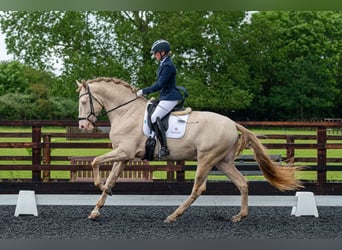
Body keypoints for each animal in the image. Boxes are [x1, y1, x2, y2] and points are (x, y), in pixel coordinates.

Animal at [76, 76, 304, 223]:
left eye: (84, 101)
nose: (83, 127)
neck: (126, 111)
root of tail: (232, 123)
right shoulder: (123, 156)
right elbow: (110, 177)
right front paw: (97, 209)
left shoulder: (125, 152)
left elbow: (95, 161)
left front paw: (100, 187)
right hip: (222, 162)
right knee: (242, 183)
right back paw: (240, 216)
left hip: (206, 159)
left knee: (198, 189)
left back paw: (173, 216)